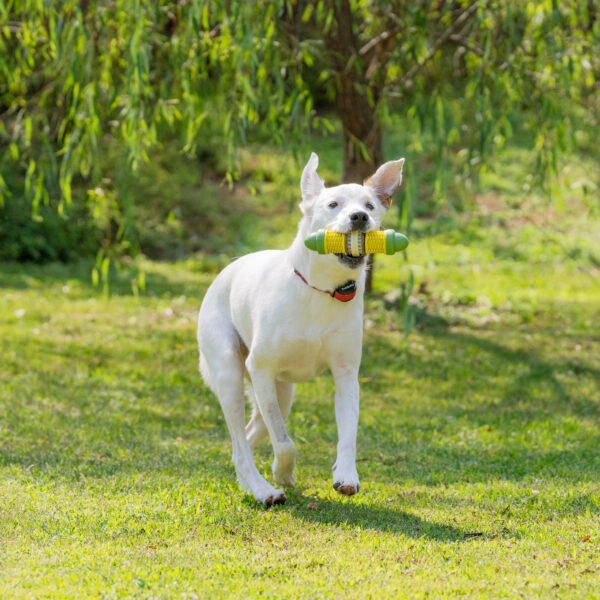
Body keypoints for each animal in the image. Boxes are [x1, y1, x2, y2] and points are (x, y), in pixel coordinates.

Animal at [197, 152, 404, 504]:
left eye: (371, 205)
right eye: (333, 204)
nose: (360, 217)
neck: (323, 290)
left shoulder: (346, 374)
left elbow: (348, 434)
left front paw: (346, 475)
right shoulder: (262, 368)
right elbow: (284, 441)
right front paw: (282, 473)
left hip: (282, 391)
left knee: (248, 437)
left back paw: (249, 482)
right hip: (231, 373)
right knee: (242, 441)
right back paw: (262, 490)